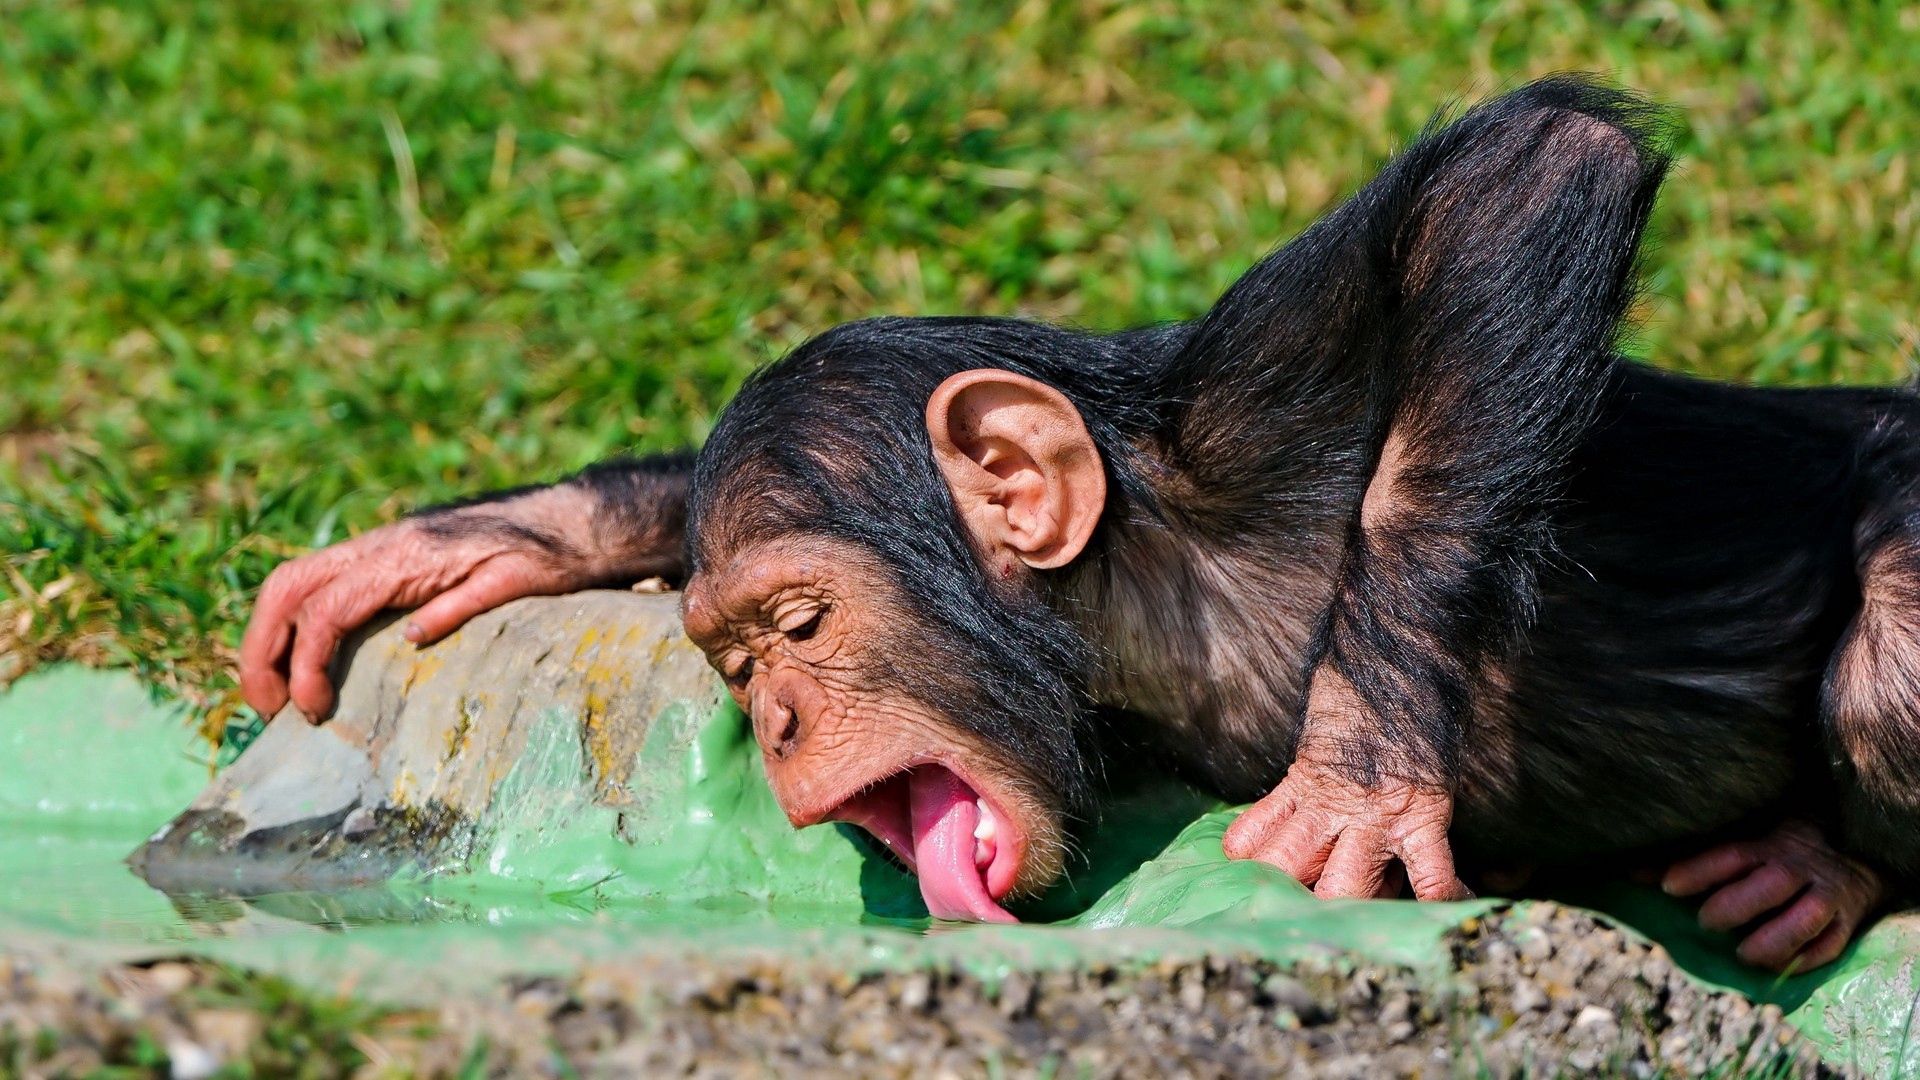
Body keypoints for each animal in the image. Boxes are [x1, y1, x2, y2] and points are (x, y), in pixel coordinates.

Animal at [239, 76, 1908, 973]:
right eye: (730, 664)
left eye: (797, 626)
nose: (773, 719)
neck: (1140, 599)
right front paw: (487, 535)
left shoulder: (1256, 408)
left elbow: (1530, 175)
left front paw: (1357, 779)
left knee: (1889, 652)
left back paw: (1820, 870)